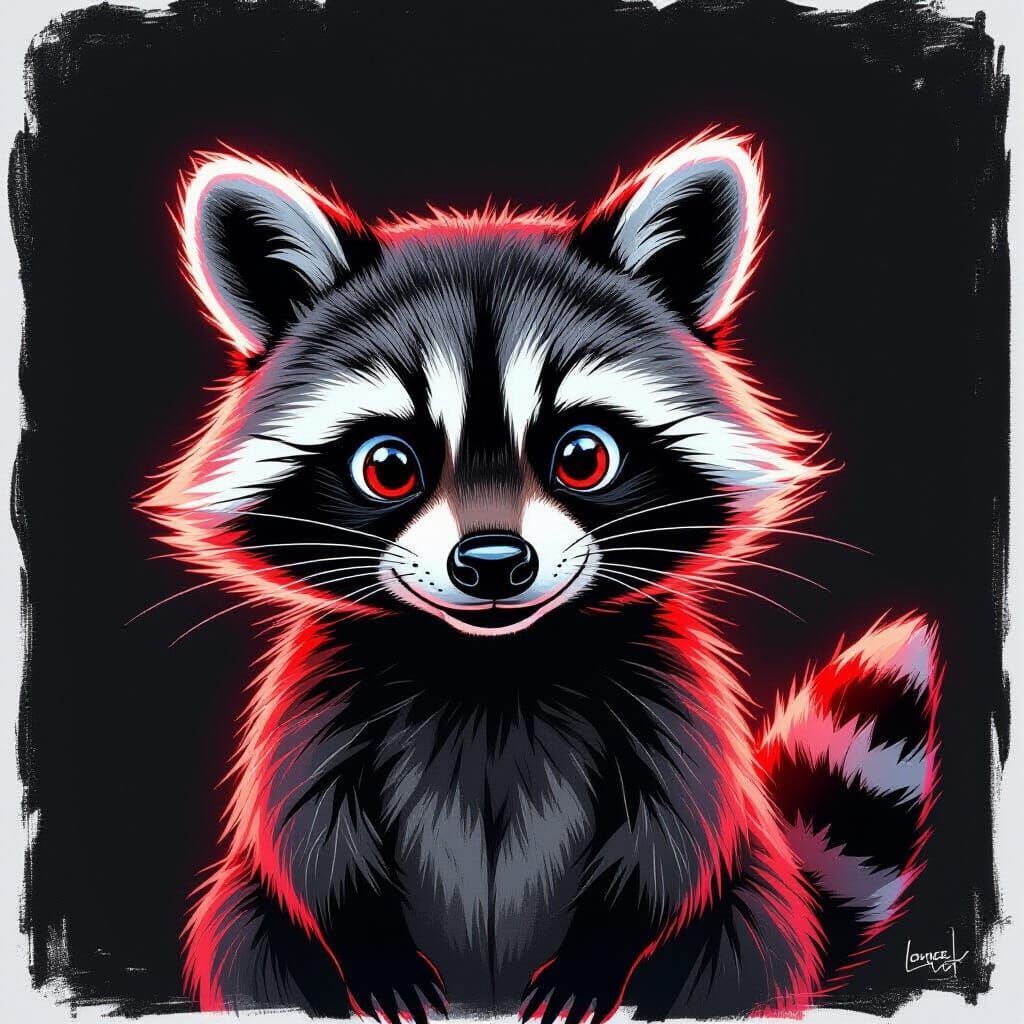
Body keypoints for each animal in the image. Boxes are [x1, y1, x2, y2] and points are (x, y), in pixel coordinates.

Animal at [140, 130, 942, 1020]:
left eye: (582, 455)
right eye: (389, 466)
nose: (493, 563)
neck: (494, 664)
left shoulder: (669, 687)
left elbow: (673, 836)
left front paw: (600, 953)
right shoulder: (320, 689)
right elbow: (309, 834)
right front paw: (371, 945)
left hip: (750, 921)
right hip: (244, 925)